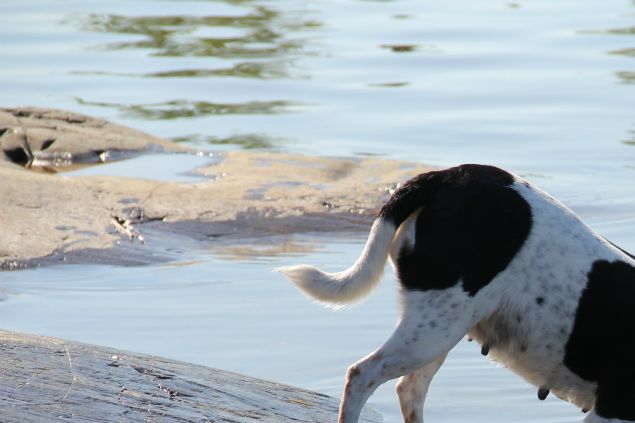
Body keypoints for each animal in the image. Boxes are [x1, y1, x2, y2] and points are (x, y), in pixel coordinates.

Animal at [280, 165, 635, 423]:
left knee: (409, 389)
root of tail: (448, 176)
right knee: (361, 376)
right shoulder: (612, 411)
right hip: (433, 333)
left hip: (438, 326)